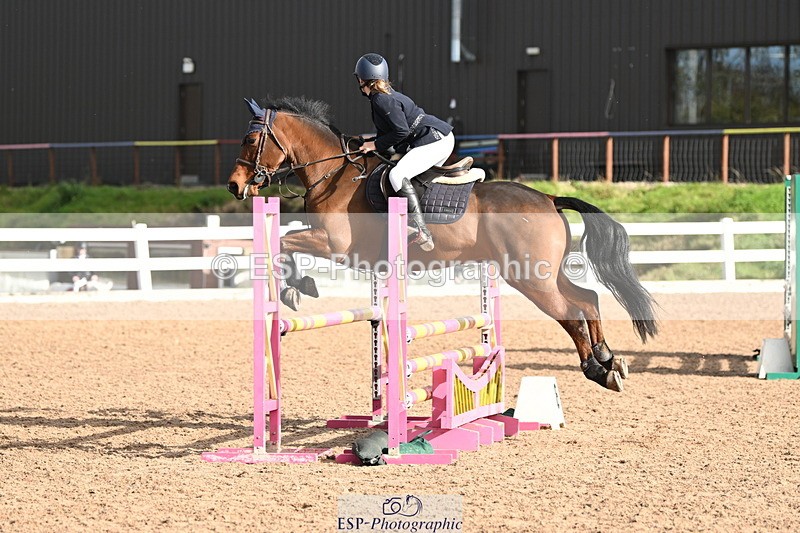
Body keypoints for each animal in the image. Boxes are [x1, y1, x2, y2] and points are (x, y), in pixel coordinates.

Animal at [226, 96, 658, 392]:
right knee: (587, 298)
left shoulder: (333, 245)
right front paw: (298, 287)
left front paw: (296, 289)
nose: (234, 185)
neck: (333, 172)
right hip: (544, 273)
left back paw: (597, 370)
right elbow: (285, 245)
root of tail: (549, 198)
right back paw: (609, 361)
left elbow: (285, 243)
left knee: (570, 312)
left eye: (250, 139)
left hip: (530, 278)